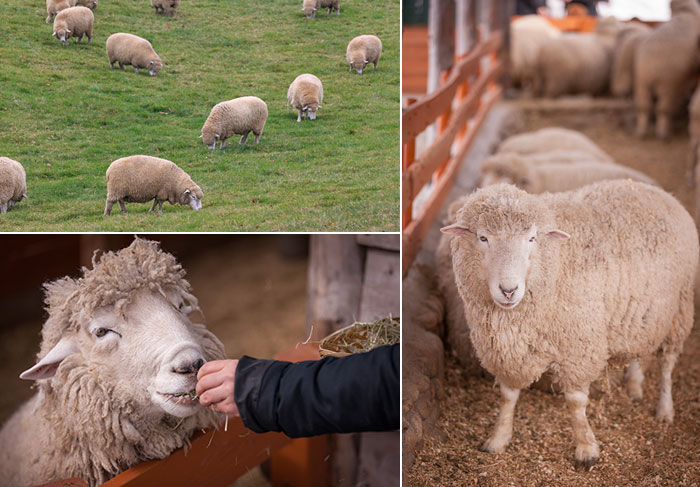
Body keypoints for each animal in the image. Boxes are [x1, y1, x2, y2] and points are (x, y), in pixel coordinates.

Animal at [636, 0, 700, 139]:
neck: (685, 10)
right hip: (668, 83)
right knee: (663, 109)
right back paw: (663, 134)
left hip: (641, 81)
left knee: (644, 106)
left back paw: (642, 132)